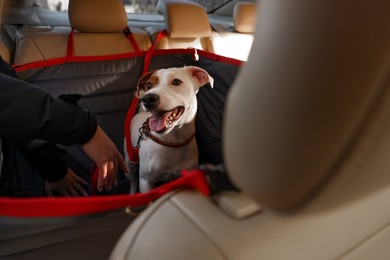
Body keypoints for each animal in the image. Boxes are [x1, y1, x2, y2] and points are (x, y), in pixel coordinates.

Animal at [125, 66, 213, 194]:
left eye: (176, 82)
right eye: (148, 85)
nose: (147, 98)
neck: (172, 141)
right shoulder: (145, 182)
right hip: (129, 163)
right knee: (132, 181)